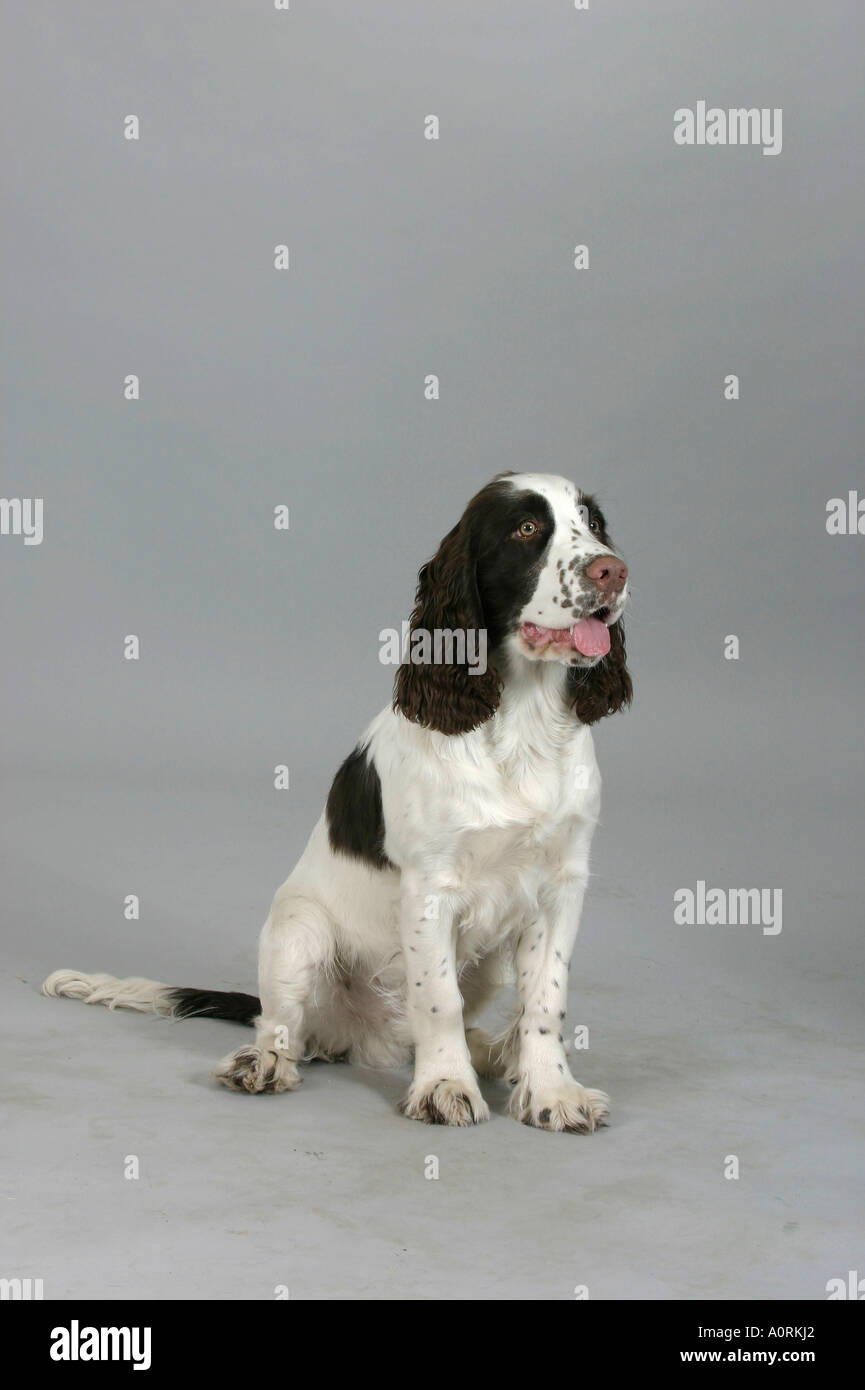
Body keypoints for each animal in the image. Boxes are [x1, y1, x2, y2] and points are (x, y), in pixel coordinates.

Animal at [44, 475, 631, 1128]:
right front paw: (444, 1086)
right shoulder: (430, 889)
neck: (521, 718)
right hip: (297, 931)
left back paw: (494, 1053)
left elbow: (544, 1003)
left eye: (593, 523)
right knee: (281, 1026)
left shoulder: (560, 885)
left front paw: (551, 1091)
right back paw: (264, 1064)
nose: (613, 571)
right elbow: (439, 1001)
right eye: (526, 529)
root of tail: (364, 1038)